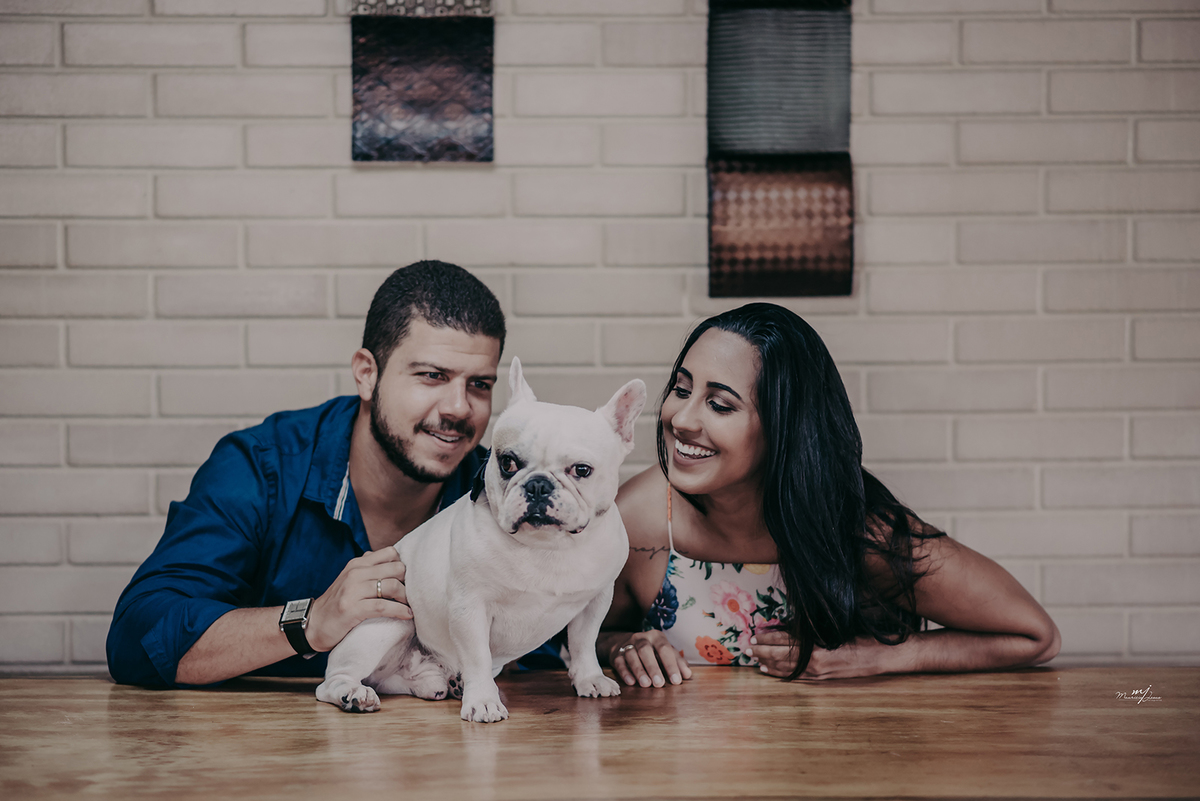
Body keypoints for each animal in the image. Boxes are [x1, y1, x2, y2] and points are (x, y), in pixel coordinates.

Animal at [316, 358, 646, 722]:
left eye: (582, 470)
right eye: (507, 462)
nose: (538, 485)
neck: (546, 546)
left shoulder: (595, 601)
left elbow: (583, 643)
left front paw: (590, 678)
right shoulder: (469, 608)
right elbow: (478, 658)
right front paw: (484, 701)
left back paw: (438, 683)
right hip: (389, 621)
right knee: (332, 681)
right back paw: (353, 694)